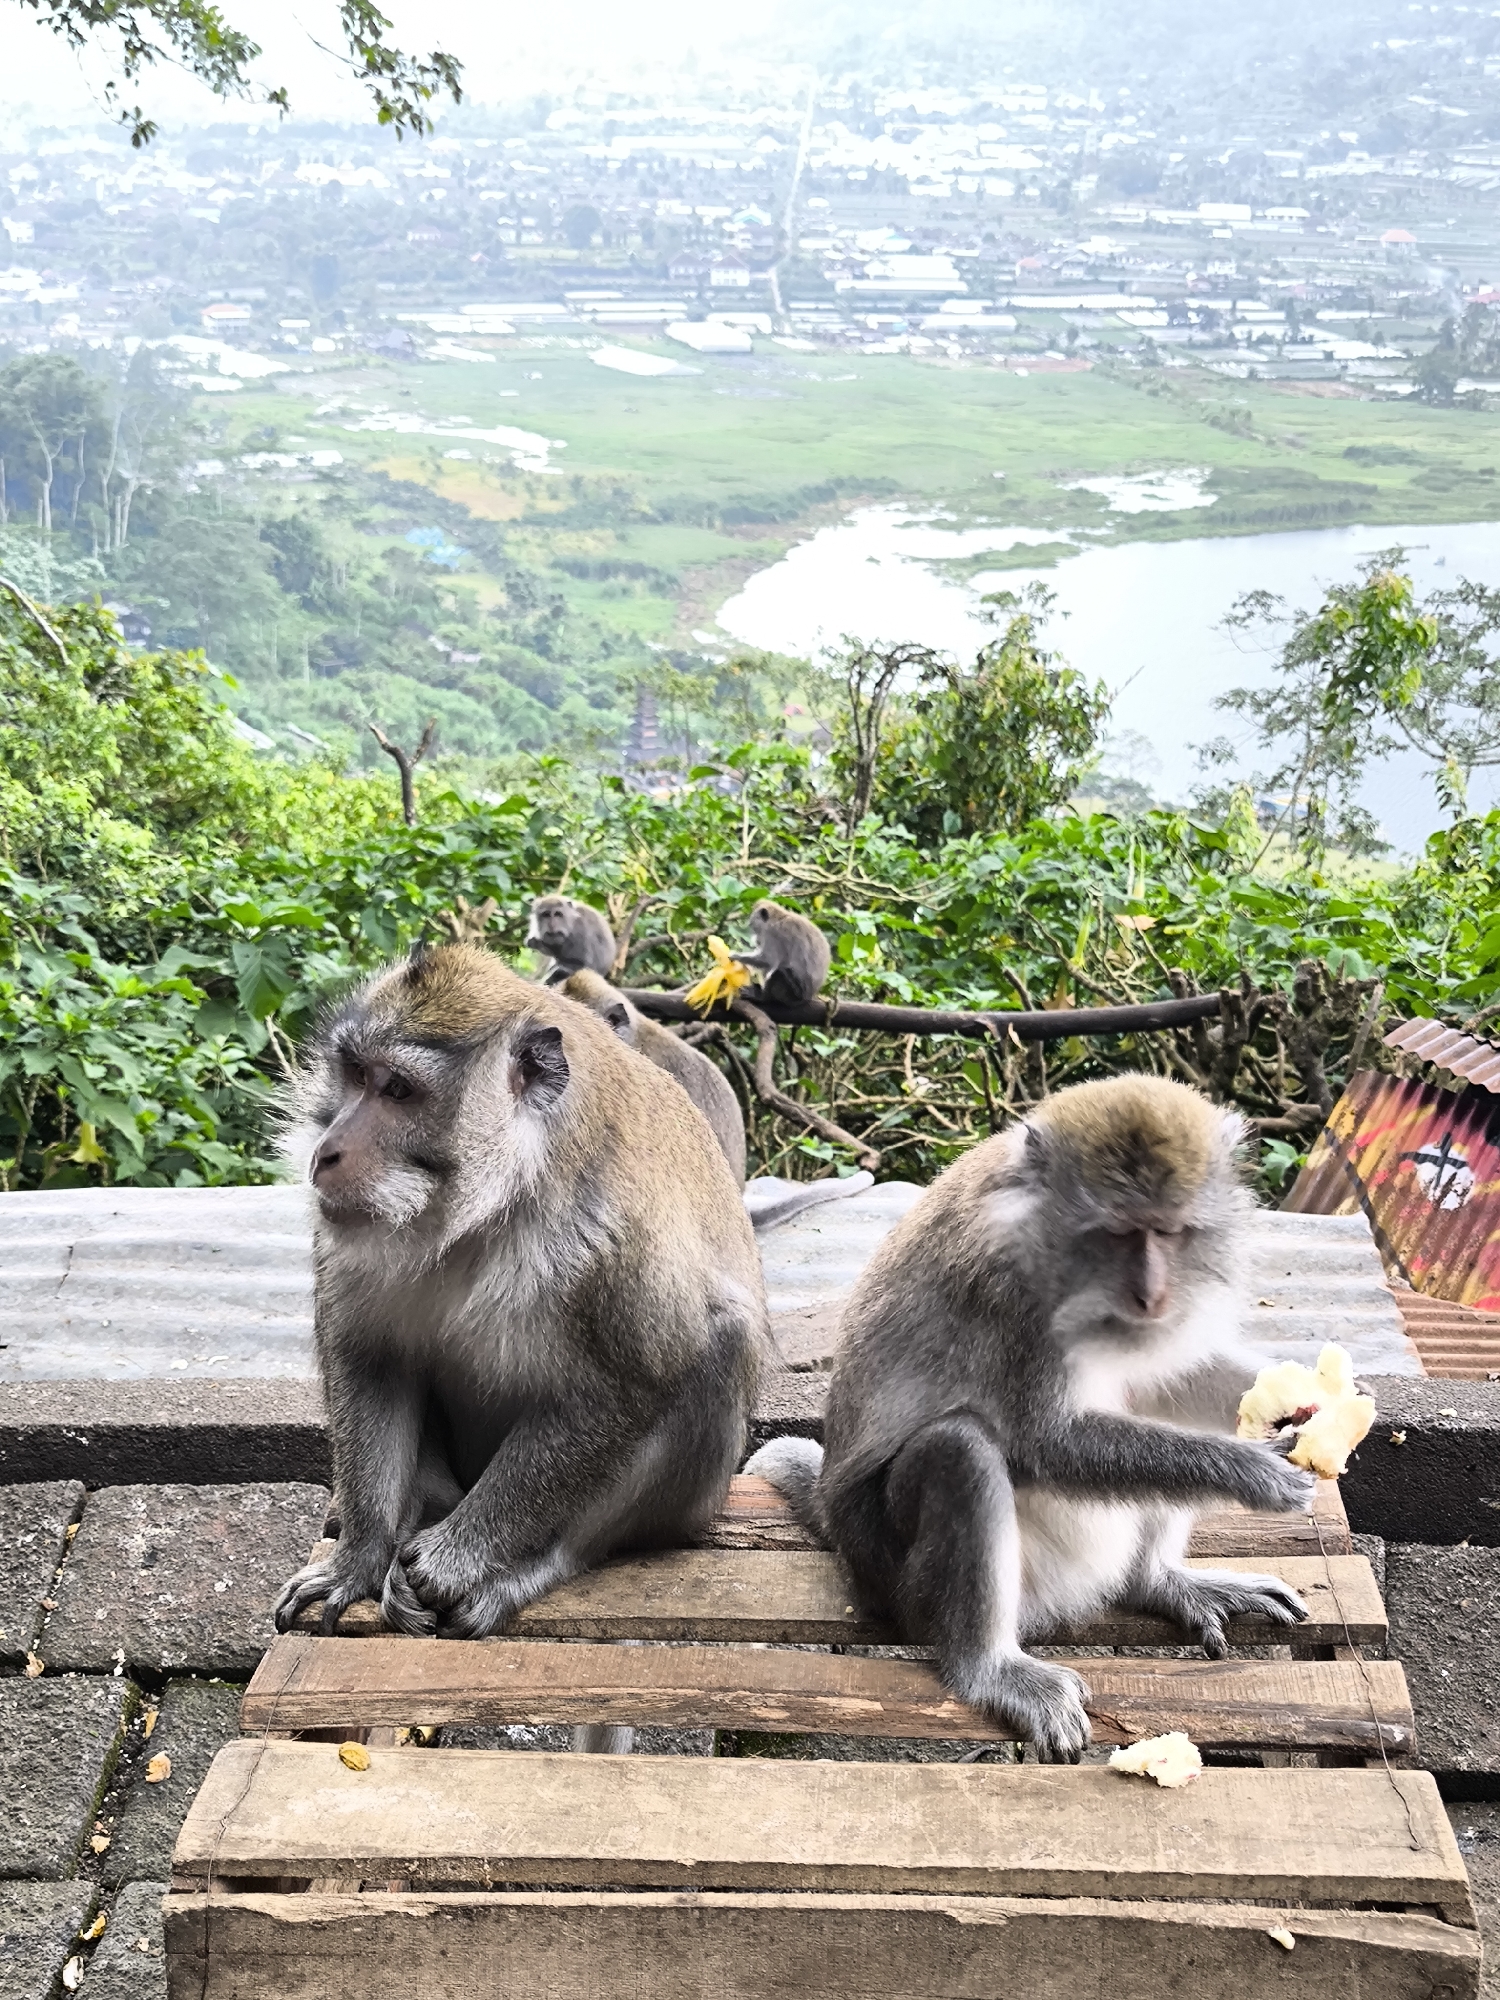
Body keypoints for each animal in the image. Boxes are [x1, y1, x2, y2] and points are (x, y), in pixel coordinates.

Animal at [746, 1074, 1315, 1763]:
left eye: (1172, 1232)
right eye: (1116, 1235)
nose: (1150, 1294)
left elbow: (1169, 1374)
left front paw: (1311, 1391)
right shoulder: (1011, 1294)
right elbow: (1047, 1443)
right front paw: (1248, 1472)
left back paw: (1155, 1582)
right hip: (893, 1574)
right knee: (959, 1451)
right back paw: (988, 1668)